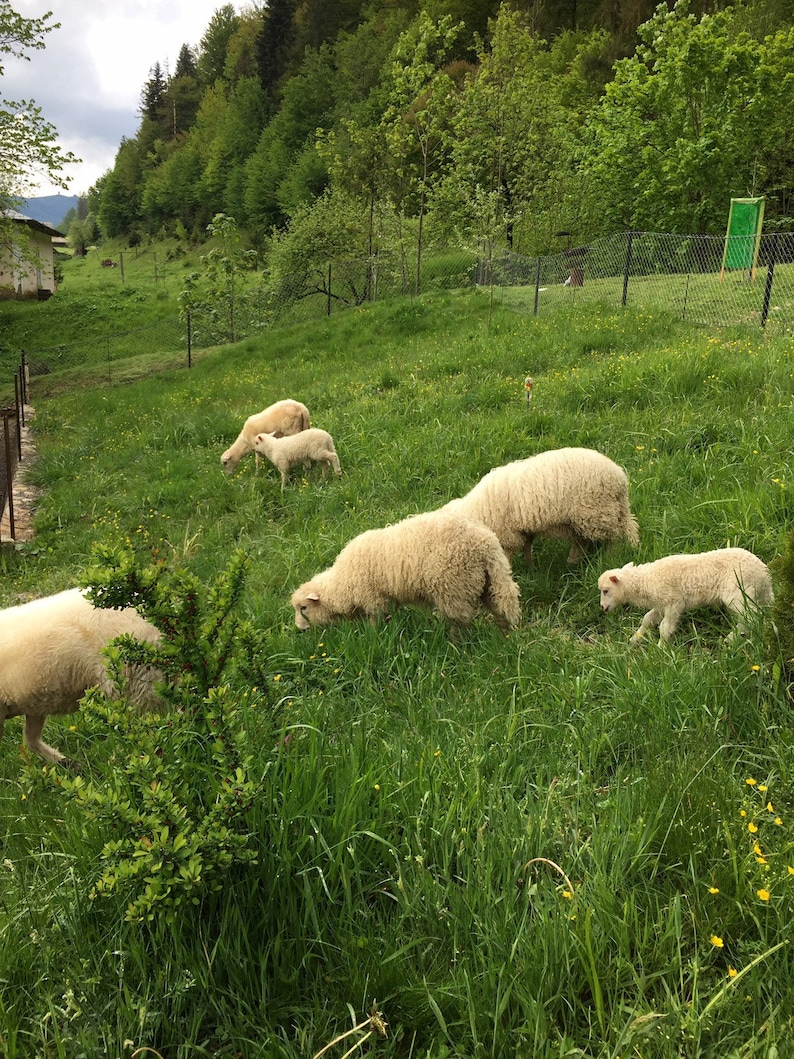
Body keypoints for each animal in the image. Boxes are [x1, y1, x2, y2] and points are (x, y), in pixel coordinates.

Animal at [290, 510, 521, 634]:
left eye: (304, 607)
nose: (300, 629)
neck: (341, 584)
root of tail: (485, 542)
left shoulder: (373, 599)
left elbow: (375, 622)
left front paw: (374, 637)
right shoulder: (386, 599)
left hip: (453, 587)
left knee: (461, 622)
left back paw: (456, 644)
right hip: (484, 581)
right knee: (498, 608)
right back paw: (504, 635)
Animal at [441, 447, 640, 566]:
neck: (475, 512)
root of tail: (619, 477)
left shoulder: (507, 535)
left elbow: (508, 555)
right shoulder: (522, 529)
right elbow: (527, 545)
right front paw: (530, 566)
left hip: (596, 513)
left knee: (613, 538)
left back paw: (610, 557)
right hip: (595, 515)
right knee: (591, 539)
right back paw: (573, 561)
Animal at [597, 548, 774, 645]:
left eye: (605, 590)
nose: (602, 607)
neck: (646, 580)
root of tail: (763, 572)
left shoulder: (674, 603)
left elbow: (665, 628)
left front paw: (661, 649)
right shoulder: (660, 605)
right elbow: (647, 620)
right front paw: (635, 639)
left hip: (738, 593)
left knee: (750, 617)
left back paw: (731, 638)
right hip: (759, 594)